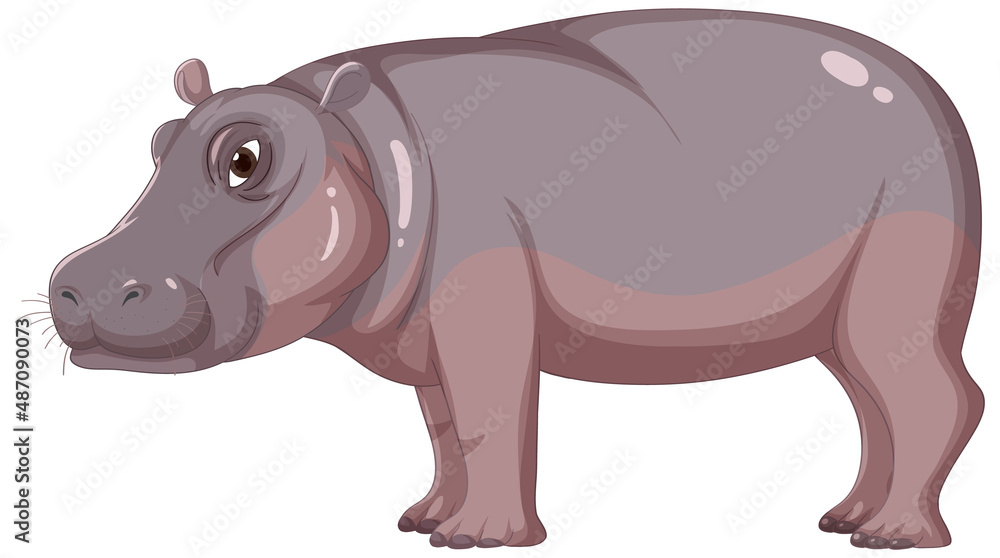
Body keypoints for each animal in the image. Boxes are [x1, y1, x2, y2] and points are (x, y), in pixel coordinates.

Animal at [47, 8, 983, 550]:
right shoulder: (425, 341)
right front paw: (422, 522)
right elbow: (443, 431)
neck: (356, 140)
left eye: (245, 157)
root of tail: (940, 98)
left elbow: (491, 419)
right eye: (159, 140)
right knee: (877, 407)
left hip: (892, 307)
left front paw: (479, 541)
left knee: (936, 398)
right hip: (843, 326)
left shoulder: (481, 318)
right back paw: (844, 520)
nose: (80, 278)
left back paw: (894, 536)